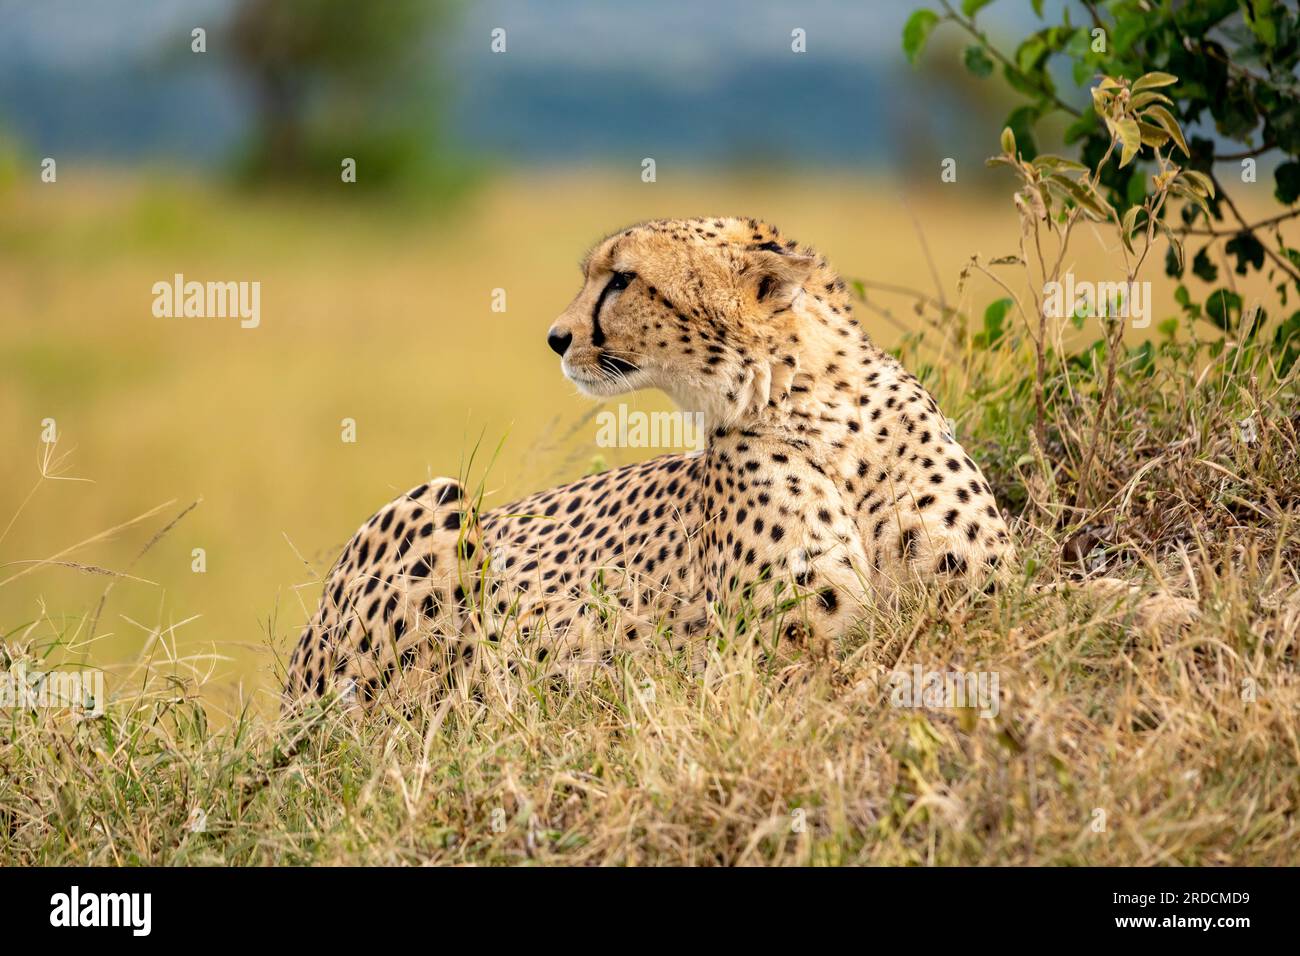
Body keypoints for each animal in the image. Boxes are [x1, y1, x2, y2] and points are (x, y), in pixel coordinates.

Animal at [283, 217, 1014, 710]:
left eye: (622, 279)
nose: (555, 338)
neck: (820, 409)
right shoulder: (759, 666)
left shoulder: (982, 605)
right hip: (435, 500)